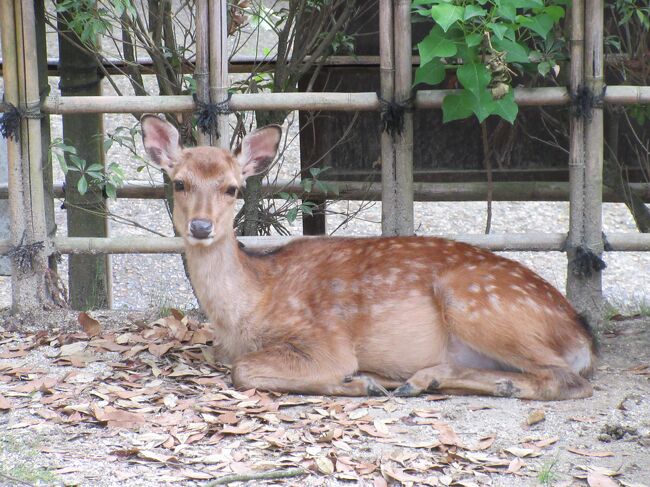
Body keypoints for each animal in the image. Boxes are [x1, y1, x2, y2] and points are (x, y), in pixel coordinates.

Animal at [139, 116, 596, 402]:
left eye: (232, 188)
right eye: (179, 183)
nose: (201, 226)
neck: (252, 303)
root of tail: (581, 336)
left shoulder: (325, 338)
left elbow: (244, 371)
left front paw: (359, 384)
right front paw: (368, 382)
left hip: (478, 302)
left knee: (568, 379)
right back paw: (420, 380)